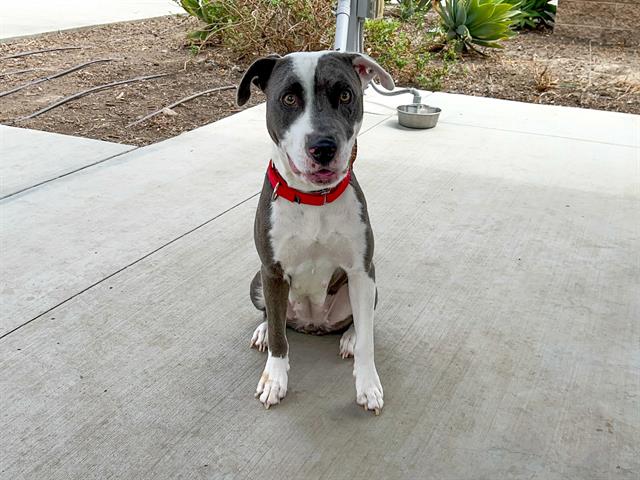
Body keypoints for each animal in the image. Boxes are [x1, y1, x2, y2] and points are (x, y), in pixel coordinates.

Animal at [238, 50, 392, 414]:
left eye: (346, 95)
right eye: (289, 99)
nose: (323, 147)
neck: (312, 199)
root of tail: (313, 323)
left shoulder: (362, 271)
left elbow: (367, 340)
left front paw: (368, 384)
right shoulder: (272, 271)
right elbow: (279, 338)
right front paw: (275, 379)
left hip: (370, 287)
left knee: (359, 321)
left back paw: (348, 336)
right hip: (257, 280)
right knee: (275, 317)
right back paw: (264, 330)